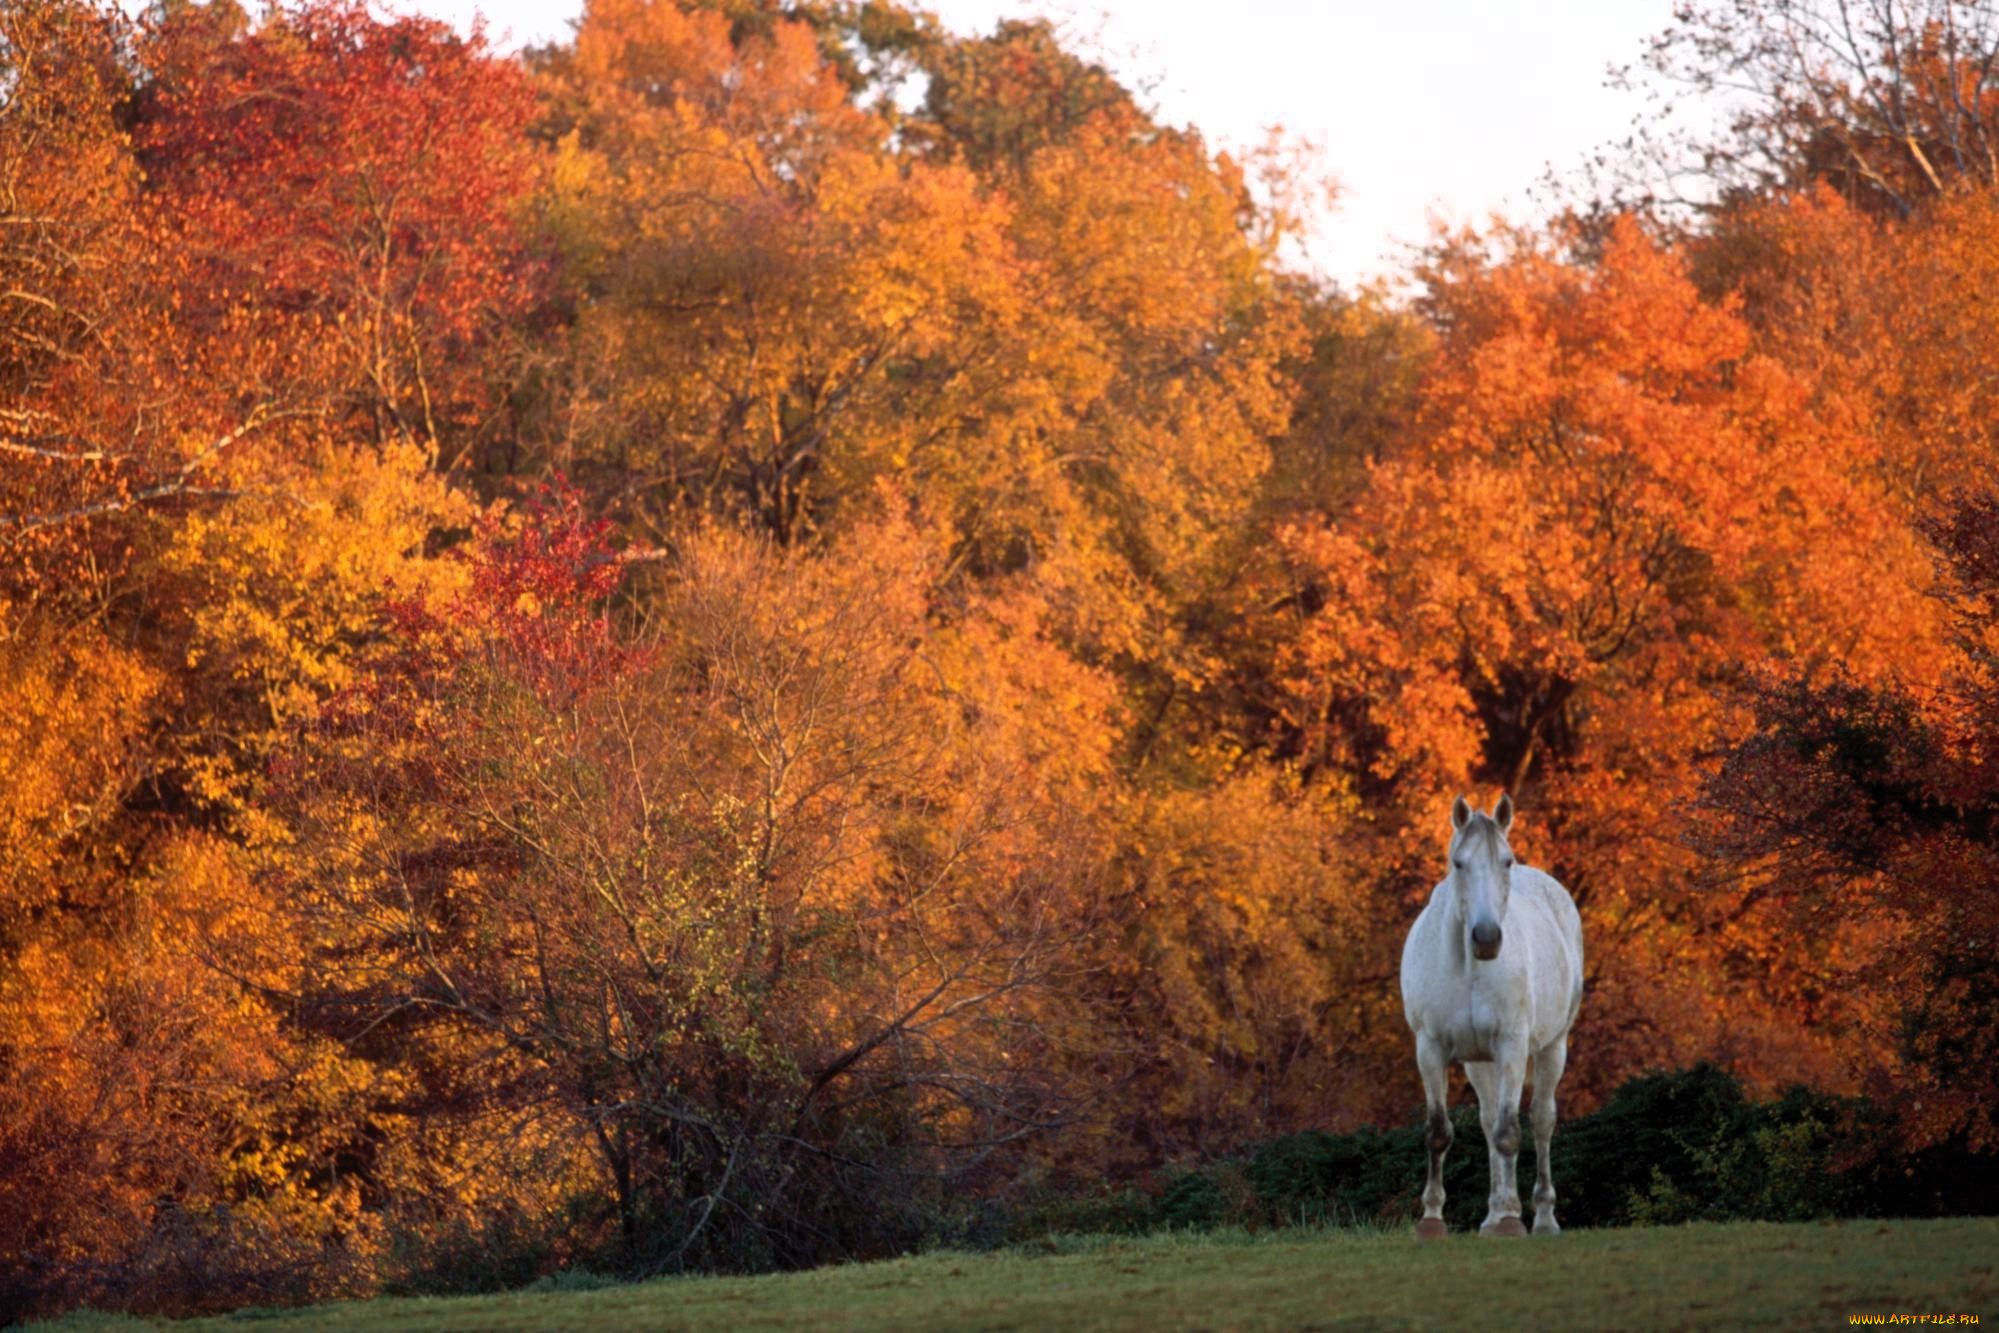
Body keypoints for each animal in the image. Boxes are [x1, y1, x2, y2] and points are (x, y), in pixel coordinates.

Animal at [1399, 791, 1583, 1239]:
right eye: (1458, 863)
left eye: (1506, 861)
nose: (1486, 938)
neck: (1467, 965)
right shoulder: (1430, 1049)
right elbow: (1440, 1132)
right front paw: (1432, 1220)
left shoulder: (1512, 1047)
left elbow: (1509, 1133)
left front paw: (1515, 1220)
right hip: (1479, 1061)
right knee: (1486, 1121)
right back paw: (1493, 1215)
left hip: (1552, 1048)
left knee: (1540, 1120)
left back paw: (1541, 1217)